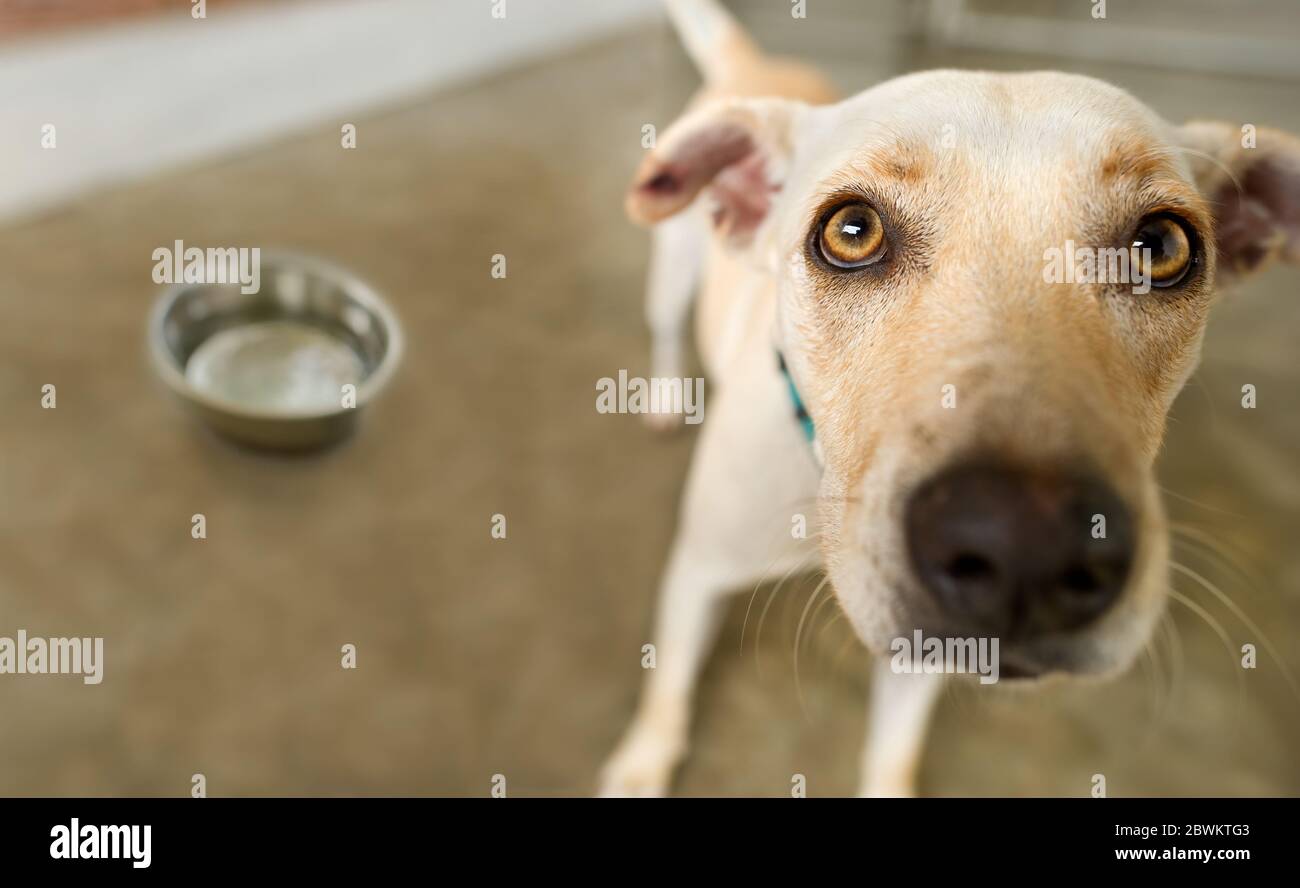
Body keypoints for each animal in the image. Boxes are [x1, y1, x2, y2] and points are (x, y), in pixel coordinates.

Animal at [603, 0, 1300, 800]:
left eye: (1161, 245)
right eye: (851, 231)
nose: (1026, 547)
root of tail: (758, 67)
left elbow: (893, 750)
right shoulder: (696, 572)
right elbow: (668, 686)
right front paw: (643, 764)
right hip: (671, 275)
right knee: (663, 329)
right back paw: (663, 397)